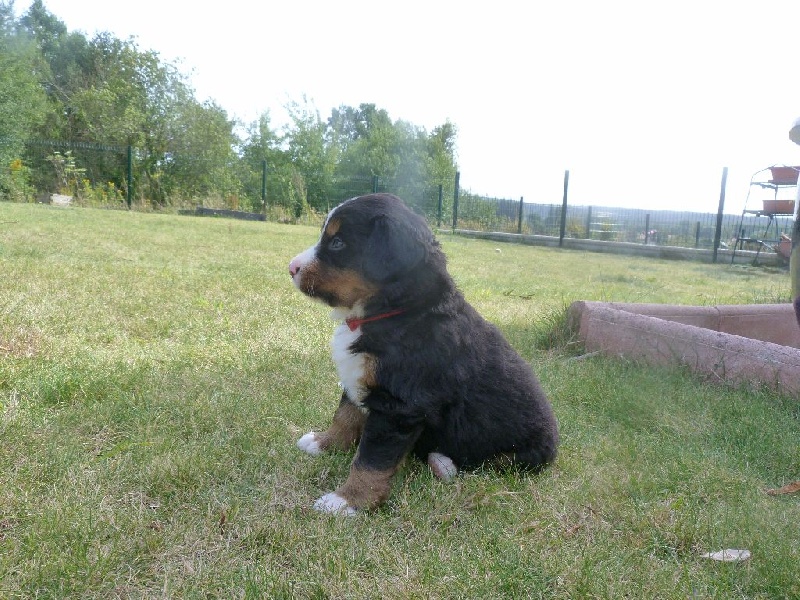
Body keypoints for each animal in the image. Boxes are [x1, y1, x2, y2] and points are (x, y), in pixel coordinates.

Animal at [288, 193, 558, 514]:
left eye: (338, 243)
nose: (291, 267)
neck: (398, 311)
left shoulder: (397, 405)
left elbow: (371, 460)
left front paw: (347, 501)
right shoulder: (360, 378)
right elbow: (345, 415)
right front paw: (323, 443)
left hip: (521, 452)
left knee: (491, 465)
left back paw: (442, 463)